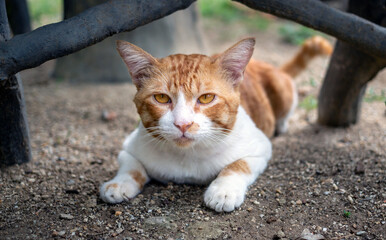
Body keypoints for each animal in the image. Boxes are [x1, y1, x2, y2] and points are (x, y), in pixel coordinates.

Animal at [99, 36, 332, 212]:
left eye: (206, 98)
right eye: (162, 98)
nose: (183, 124)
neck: (186, 157)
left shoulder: (261, 147)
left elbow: (237, 164)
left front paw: (223, 191)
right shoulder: (131, 143)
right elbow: (130, 164)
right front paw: (119, 183)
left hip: (282, 91)